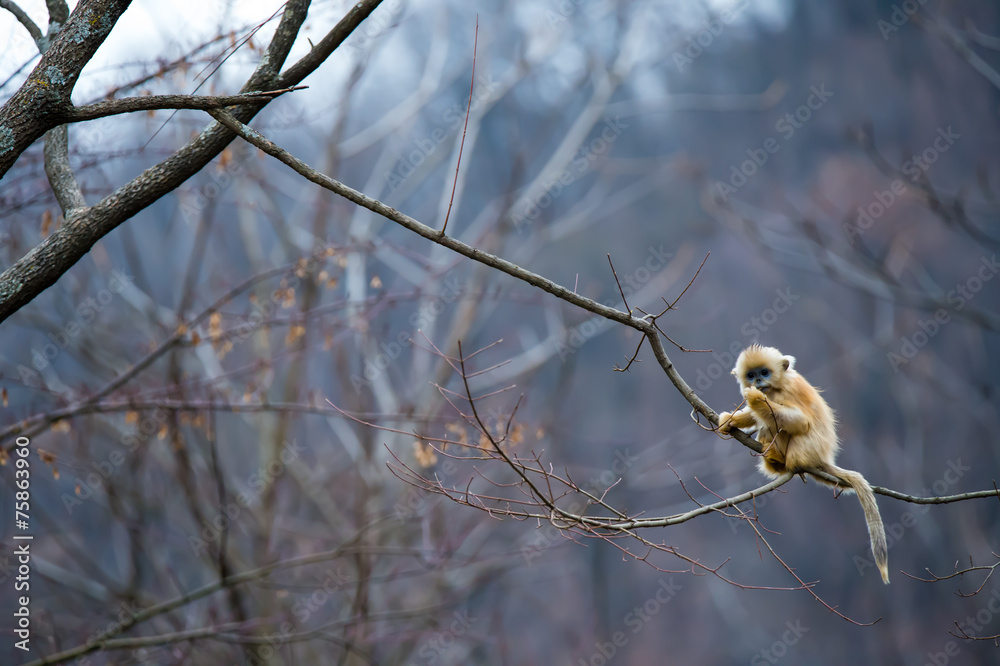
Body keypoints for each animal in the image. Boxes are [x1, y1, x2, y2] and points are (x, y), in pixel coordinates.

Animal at [717, 344, 889, 585]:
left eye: (764, 373)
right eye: (751, 375)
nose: (758, 382)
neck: (777, 385)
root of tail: (822, 458)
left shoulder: (783, 392)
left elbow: (800, 422)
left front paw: (756, 399)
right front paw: (730, 420)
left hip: (803, 450)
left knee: (778, 425)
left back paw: (778, 457)